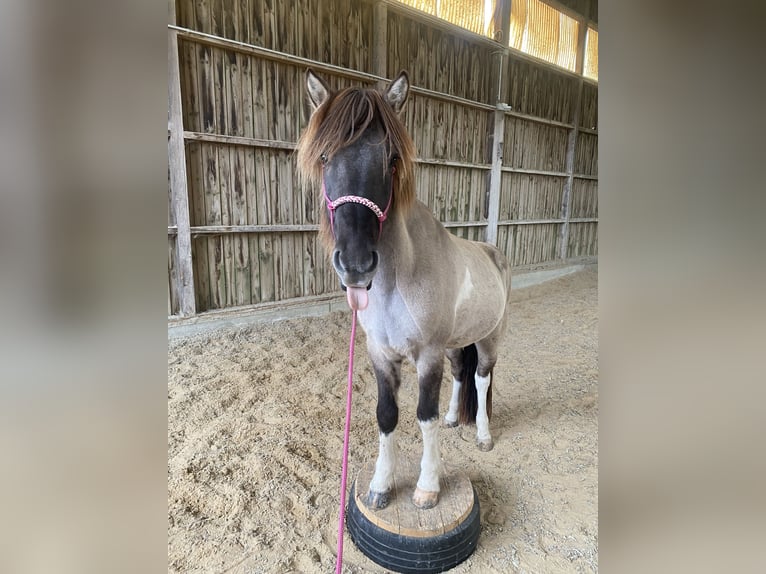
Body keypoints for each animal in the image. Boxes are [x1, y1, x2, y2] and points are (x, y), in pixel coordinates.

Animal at [296, 68, 512, 512]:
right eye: (324, 157)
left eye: (392, 159)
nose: (357, 264)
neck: (398, 281)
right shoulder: (381, 354)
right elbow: (387, 414)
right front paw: (380, 486)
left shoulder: (427, 355)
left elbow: (423, 415)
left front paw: (427, 487)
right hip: (455, 344)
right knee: (461, 374)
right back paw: (455, 418)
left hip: (488, 339)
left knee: (481, 378)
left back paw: (482, 435)